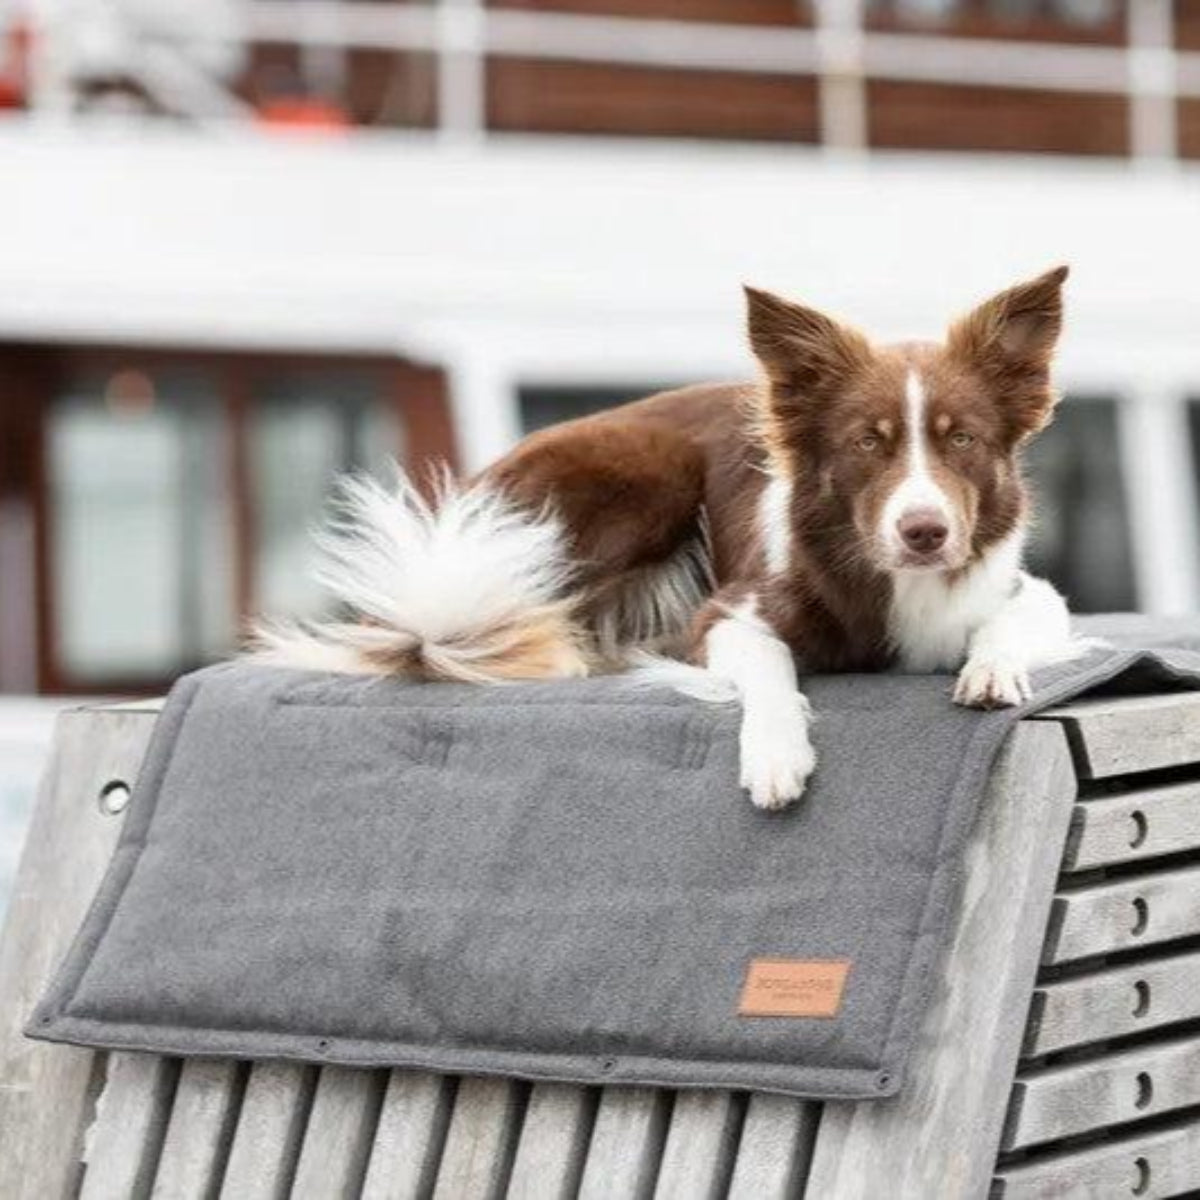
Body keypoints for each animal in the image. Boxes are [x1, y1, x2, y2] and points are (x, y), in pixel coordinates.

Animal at [253, 268, 1080, 811]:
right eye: (867, 444)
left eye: (962, 439)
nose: (925, 532)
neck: (898, 579)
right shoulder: (728, 614)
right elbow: (772, 671)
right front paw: (776, 756)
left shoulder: (1031, 591)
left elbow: (1008, 624)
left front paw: (992, 669)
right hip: (653, 465)